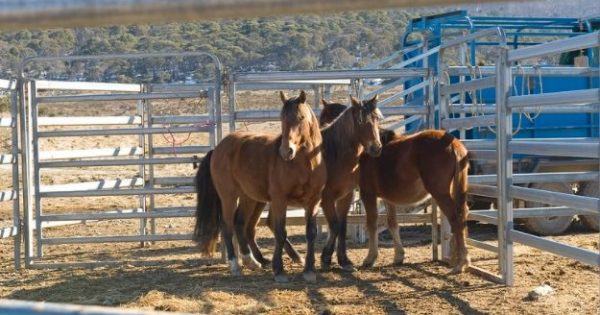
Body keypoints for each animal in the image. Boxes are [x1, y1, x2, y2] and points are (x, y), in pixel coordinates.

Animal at [193, 89, 326, 284]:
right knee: (227, 225)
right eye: (282, 118)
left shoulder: (313, 202)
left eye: (301, 117)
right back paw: (235, 265)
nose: (286, 151)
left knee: (240, 223)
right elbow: (280, 232)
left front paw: (309, 270)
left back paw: (252, 261)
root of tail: (217, 148)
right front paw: (279, 271)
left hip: (249, 198)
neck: (305, 164)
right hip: (229, 197)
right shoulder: (279, 201)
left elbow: (311, 232)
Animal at [322, 103, 472, 274]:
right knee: (463, 214)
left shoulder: (368, 194)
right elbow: (392, 223)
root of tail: (452, 143)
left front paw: (370, 257)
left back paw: (461, 262)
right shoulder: (388, 197)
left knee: (456, 218)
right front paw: (399, 256)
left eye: (324, 120)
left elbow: (372, 223)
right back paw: (457, 255)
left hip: (440, 193)